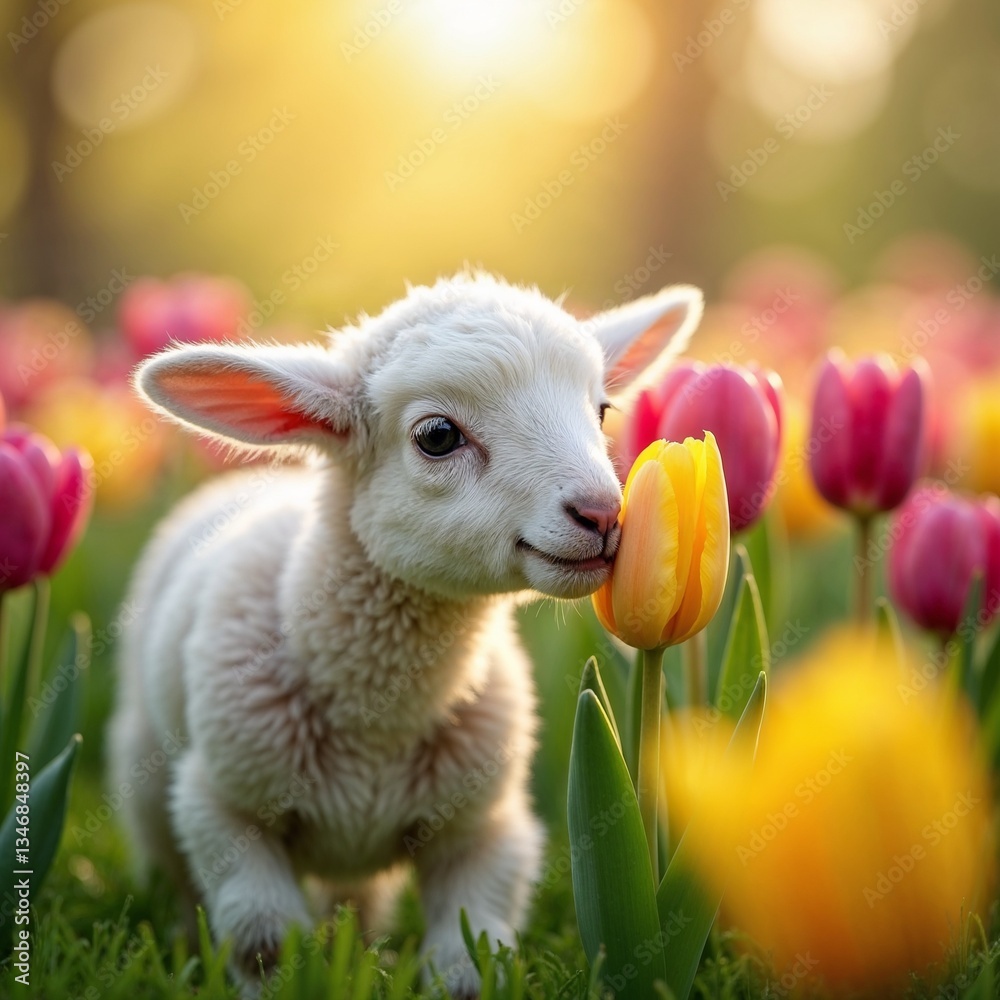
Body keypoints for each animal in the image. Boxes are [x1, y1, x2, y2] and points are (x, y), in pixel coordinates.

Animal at [107, 271, 703, 997]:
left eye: (603, 411)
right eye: (438, 435)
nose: (601, 513)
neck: (380, 718)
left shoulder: (482, 828)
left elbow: (472, 954)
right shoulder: (222, 807)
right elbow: (263, 938)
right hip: (145, 775)